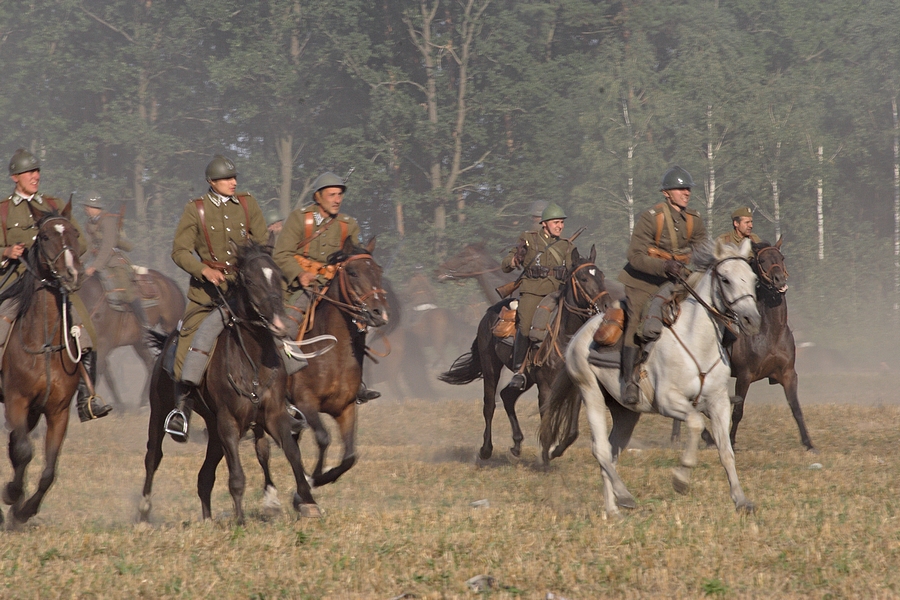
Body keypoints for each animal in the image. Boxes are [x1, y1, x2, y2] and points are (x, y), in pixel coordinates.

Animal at [0, 200, 85, 524]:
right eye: (45, 237)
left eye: (75, 232)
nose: (72, 274)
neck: (44, 343)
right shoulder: (16, 400)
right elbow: (24, 450)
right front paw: (12, 495)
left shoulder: (57, 411)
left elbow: (49, 467)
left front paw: (23, 510)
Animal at [79, 270, 186, 410]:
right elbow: (106, 374)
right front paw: (119, 407)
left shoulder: (104, 343)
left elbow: (98, 370)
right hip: (138, 342)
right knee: (150, 363)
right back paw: (142, 403)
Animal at [135, 241, 314, 524]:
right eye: (250, 280)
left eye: (278, 276)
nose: (278, 324)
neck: (252, 359)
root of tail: (166, 347)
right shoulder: (229, 422)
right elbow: (237, 475)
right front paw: (240, 519)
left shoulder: (273, 415)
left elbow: (293, 454)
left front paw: (308, 503)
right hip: (161, 410)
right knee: (154, 455)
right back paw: (144, 511)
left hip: (214, 430)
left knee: (204, 476)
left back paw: (208, 519)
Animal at [440, 246, 608, 462]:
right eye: (583, 278)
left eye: (601, 275)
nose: (605, 306)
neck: (565, 336)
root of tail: (488, 313)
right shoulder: (545, 386)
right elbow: (546, 420)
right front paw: (545, 457)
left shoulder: (576, 385)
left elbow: (572, 431)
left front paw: (555, 451)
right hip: (491, 368)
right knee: (489, 404)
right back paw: (486, 449)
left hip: (526, 377)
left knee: (507, 396)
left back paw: (517, 443)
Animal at [540, 239, 760, 516]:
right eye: (726, 279)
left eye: (753, 279)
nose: (752, 320)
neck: (696, 342)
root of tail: (578, 335)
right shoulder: (668, 402)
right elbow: (696, 424)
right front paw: (681, 478)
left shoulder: (719, 402)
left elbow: (726, 451)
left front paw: (741, 500)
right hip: (591, 393)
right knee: (600, 449)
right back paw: (624, 495)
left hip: (626, 412)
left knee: (612, 451)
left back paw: (613, 508)